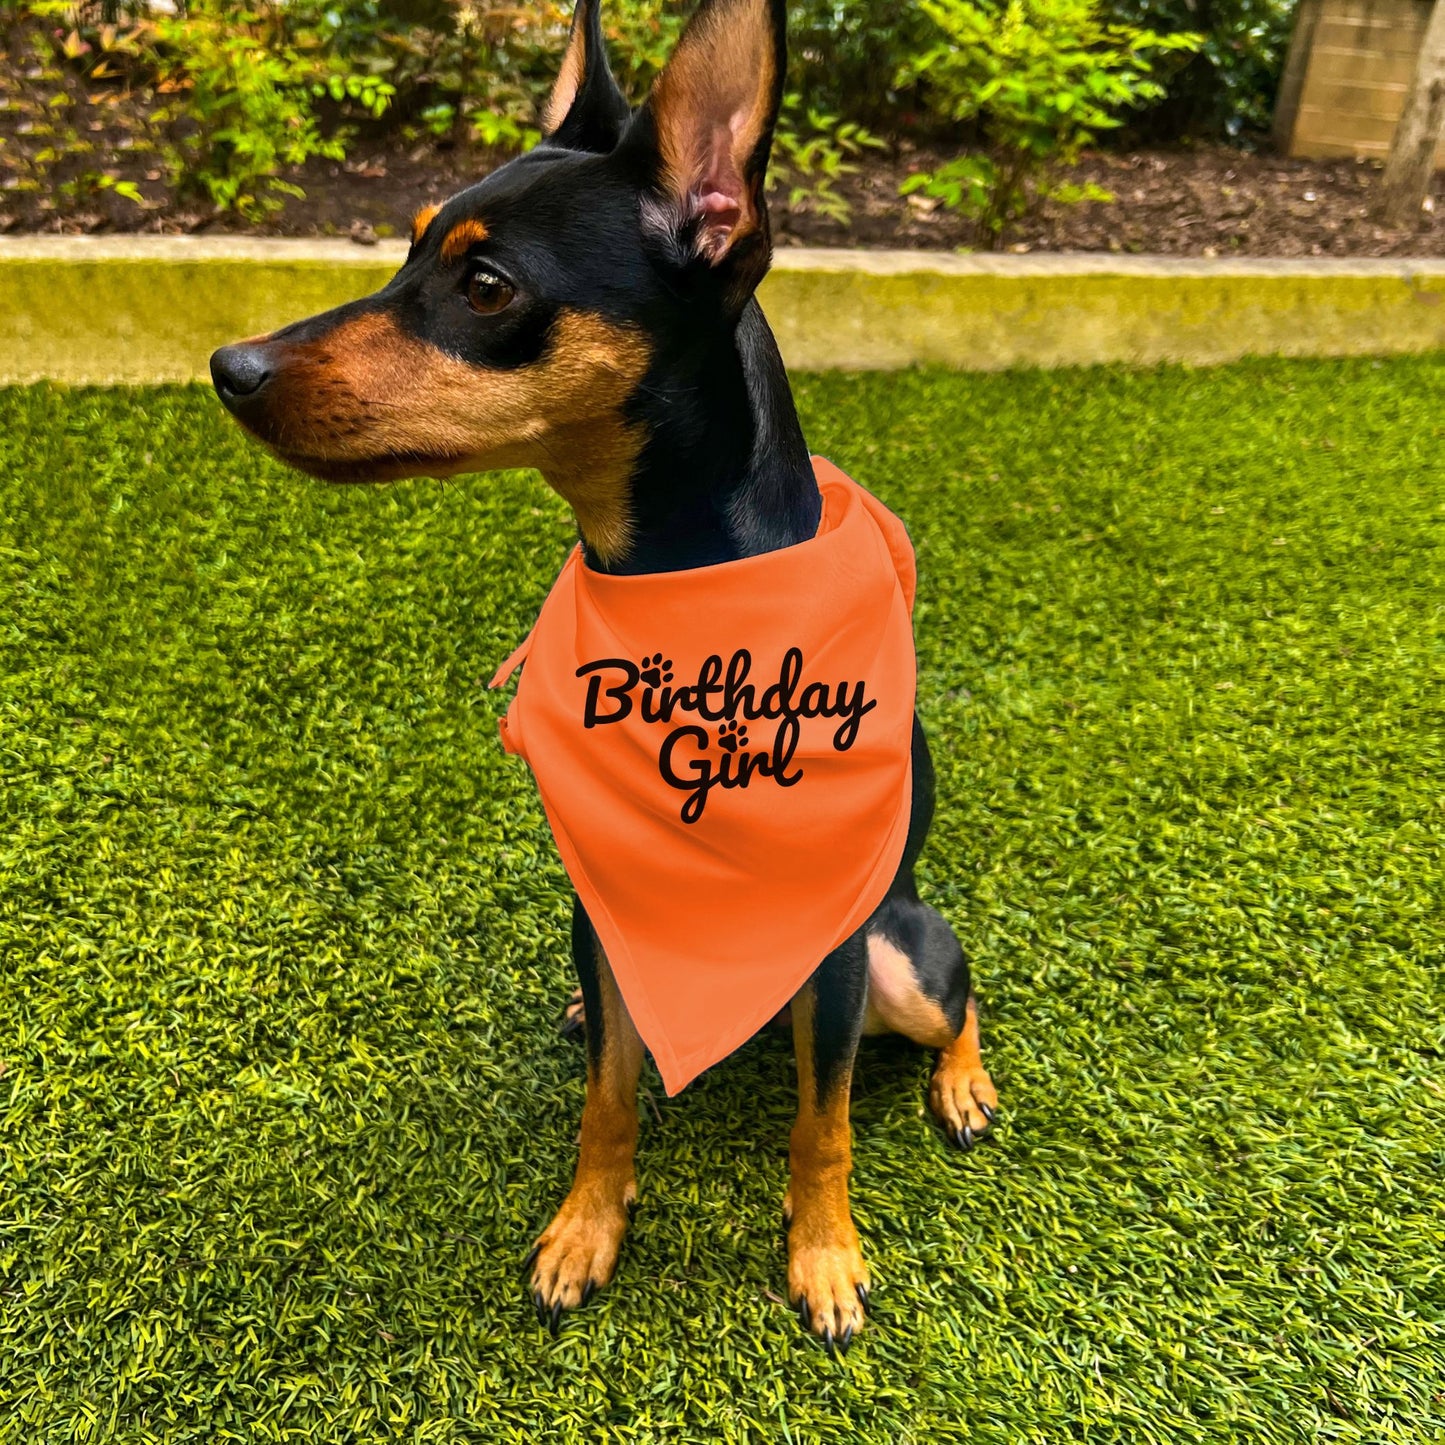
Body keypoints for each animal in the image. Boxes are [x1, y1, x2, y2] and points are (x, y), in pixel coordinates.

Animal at [209, 0, 994, 1352]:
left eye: (485, 286)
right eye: (406, 250)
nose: (230, 367)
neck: (673, 596)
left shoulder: (835, 954)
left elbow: (823, 1121)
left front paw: (825, 1256)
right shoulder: (602, 895)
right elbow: (610, 1097)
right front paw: (586, 1228)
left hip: (901, 954)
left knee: (961, 1000)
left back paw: (963, 1084)